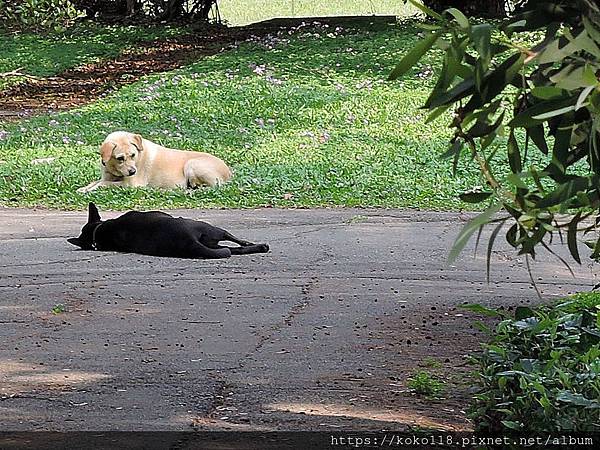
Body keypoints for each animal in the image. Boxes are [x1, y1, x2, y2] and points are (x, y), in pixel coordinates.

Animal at [67, 202, 270, 258]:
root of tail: (188, 240)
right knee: (236, 242)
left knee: (237, 249)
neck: (98, 230)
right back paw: (261, 246)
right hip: (210, 228)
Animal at [77, 130, 232, 193]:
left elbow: (103, 184)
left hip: (192, 164)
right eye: (120, 158)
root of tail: (229, 173)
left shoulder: (131, 185)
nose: (133, 171)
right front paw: (84, 188)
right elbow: (96, 182)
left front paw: (89, 190)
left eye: (133, 155)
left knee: (212, 186)